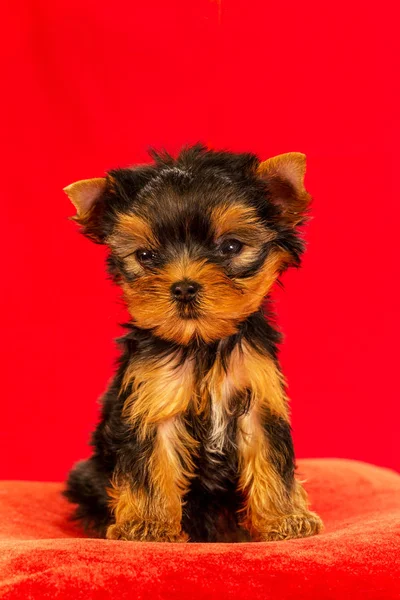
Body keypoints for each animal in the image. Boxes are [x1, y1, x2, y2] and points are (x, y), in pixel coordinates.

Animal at [64, 145, 324, 544]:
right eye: (146, 256)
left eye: (230, 246)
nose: (184, 287)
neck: (203, 342)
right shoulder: (154, 396)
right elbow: (151, 463)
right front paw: (149, 525)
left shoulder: (258, 394)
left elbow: (269, 454)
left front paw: (285, 519)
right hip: (87, 475)